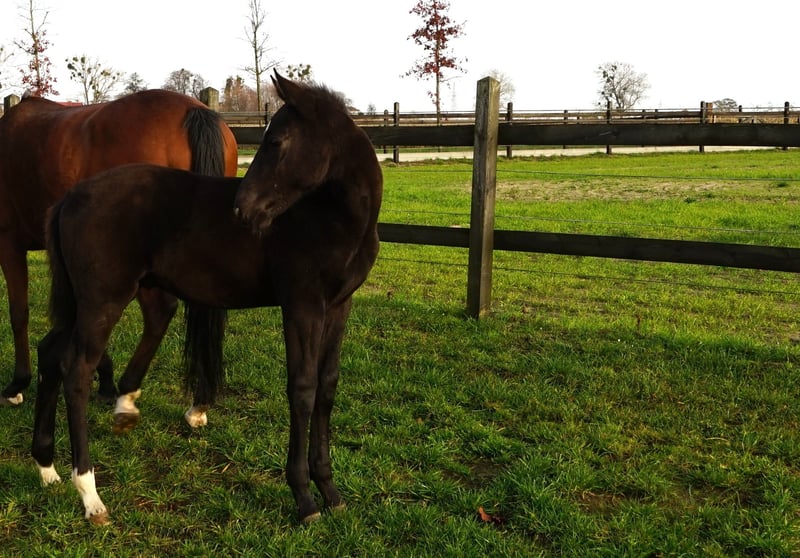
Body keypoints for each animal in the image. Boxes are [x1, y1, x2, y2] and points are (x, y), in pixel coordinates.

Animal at [0, 89, 239, 406]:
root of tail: (193, 111)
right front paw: (104, 378)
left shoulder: (8, 244)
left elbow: (19, 312)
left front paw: (18, 383)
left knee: (159, 312)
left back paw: (129, 386)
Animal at [32, 72, 382, 525]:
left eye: (278, 141)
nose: (242, 210)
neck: (333, 219)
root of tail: (69, 198)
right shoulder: (301, 305)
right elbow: (302, 390)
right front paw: (305, 499)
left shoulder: (338, 307)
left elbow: (326, 387)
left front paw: (331, 491)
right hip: (101, 301)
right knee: (75, 370)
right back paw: (90, 495)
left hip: (79, 302)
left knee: (50, 354)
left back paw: (46, 468)